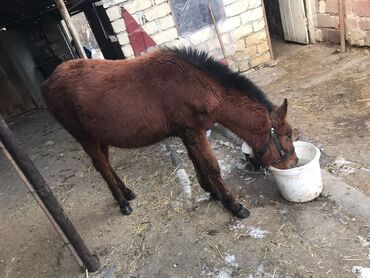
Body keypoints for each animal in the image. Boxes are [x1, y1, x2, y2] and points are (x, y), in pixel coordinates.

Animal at [41, 46, 298, 218]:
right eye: (288, 134)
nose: (294, 163)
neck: (197, 84)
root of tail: (48, 82)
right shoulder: (193, 132)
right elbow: (211, 166)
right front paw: (233, 205)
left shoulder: (188, 133)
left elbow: (197, 162)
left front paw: (212, 192)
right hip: (85, 137)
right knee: (102, 166)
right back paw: (122, 202)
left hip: (97, 136)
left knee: (103, 163)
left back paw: (125, 192)